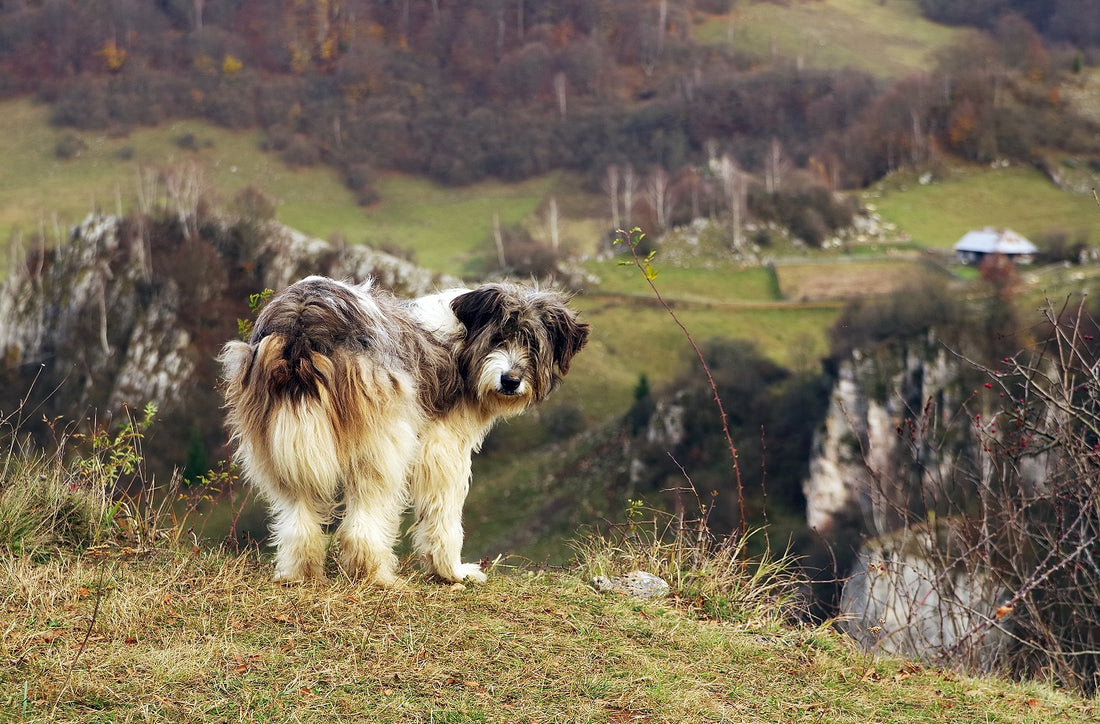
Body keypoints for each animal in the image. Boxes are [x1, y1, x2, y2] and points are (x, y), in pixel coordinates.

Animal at [217, 273, 589, 585]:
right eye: (498, 338)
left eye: (533, 345)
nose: (510, 380)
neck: (463, 342)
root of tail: (303, 321)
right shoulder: (442, 448)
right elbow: (444, 514)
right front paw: (452, 572)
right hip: (382, 445)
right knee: (362, 525)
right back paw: (377, 576)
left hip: (278, 445)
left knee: (298, 516)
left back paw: (299, 574)